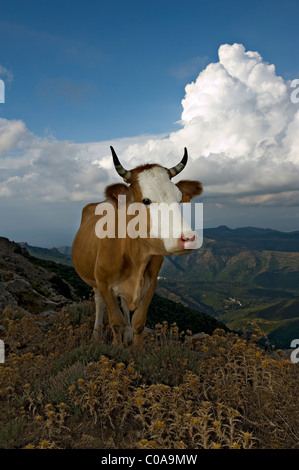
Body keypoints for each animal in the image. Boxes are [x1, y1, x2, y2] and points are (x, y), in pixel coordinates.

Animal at [72, 147, 204, 346]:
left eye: (180, 198)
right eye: (146, 200)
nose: (188, 238)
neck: (134, 257)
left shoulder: (151, 284)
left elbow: (138, 322)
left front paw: (135, 347)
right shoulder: (104, 283)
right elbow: (115, 321)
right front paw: (117, 347)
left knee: (125, 306)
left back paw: (127, 335)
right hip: (94, 281)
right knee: (99, 303)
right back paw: (96, 334)